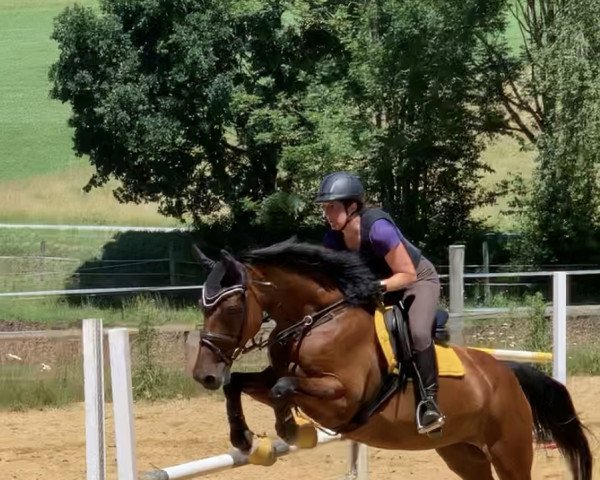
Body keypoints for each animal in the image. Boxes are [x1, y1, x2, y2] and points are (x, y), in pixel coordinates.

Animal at [191, 240, 592, 480]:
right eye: (202, 306)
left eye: (231, 308)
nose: (203, 375)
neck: (316, 320)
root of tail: (506, 374)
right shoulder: (275, 374)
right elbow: (243, 383)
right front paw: (244, 437)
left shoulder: (342, 397)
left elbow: (282, 387)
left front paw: (291, 429)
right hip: (462, 452)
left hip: (508, 449)